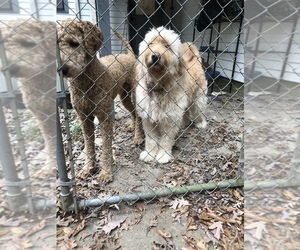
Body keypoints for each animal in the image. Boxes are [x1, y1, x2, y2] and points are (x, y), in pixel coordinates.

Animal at [57, 19, 144, 184]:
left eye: (74, 43)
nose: (62, 69)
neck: (85, 83)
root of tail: (129, 56)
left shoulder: (105, 118)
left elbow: (106, 147)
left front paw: (106, 172)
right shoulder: (84, 119)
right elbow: (89, 145)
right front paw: (88, 168)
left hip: (135, 93)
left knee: (139, 114)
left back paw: (138, 136)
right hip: (124, 96)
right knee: (134, 113)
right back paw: (132, 127)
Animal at [135, 26, 207, 163]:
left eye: (167, 46)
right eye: (151, 44)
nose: (155, 56)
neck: (159, 87)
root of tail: (194, 61)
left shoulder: (170, 119)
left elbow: (165, 140)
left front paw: (163, 155)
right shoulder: (148, 119)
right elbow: (151, 139)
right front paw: (149, 154)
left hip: (198, 99)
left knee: (198, 111)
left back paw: (201, 123)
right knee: (185, 112)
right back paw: (184, 123)